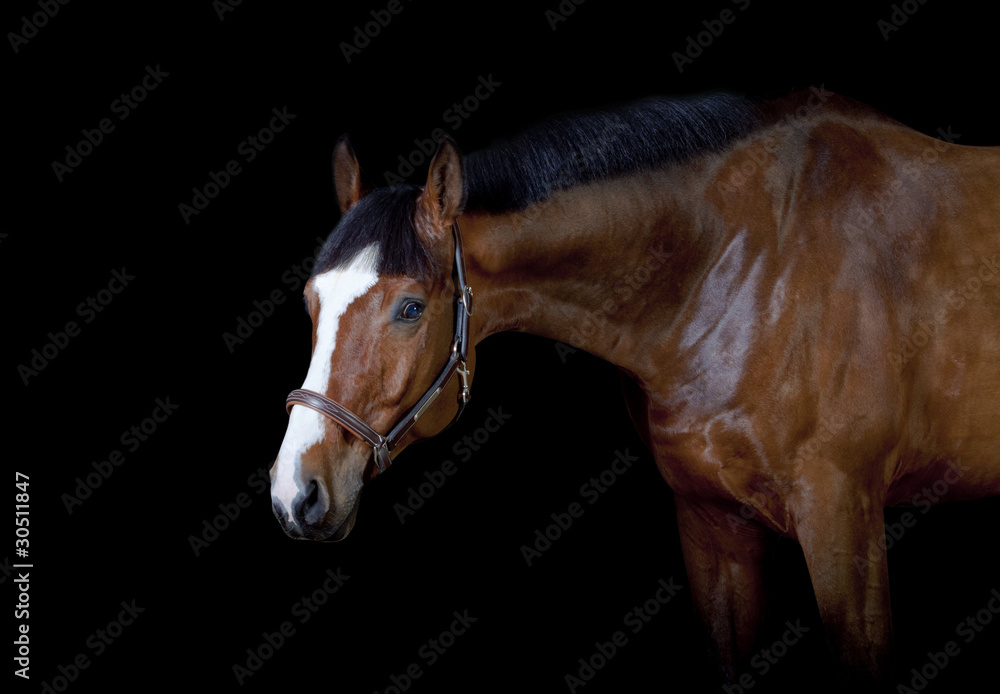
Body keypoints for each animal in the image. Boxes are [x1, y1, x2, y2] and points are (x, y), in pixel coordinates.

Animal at [269, 89, 1000, 688]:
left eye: (411, 308)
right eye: (310, 302)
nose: (295, 493)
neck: (749, 265)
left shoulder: (844, 522)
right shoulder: (711, 526)